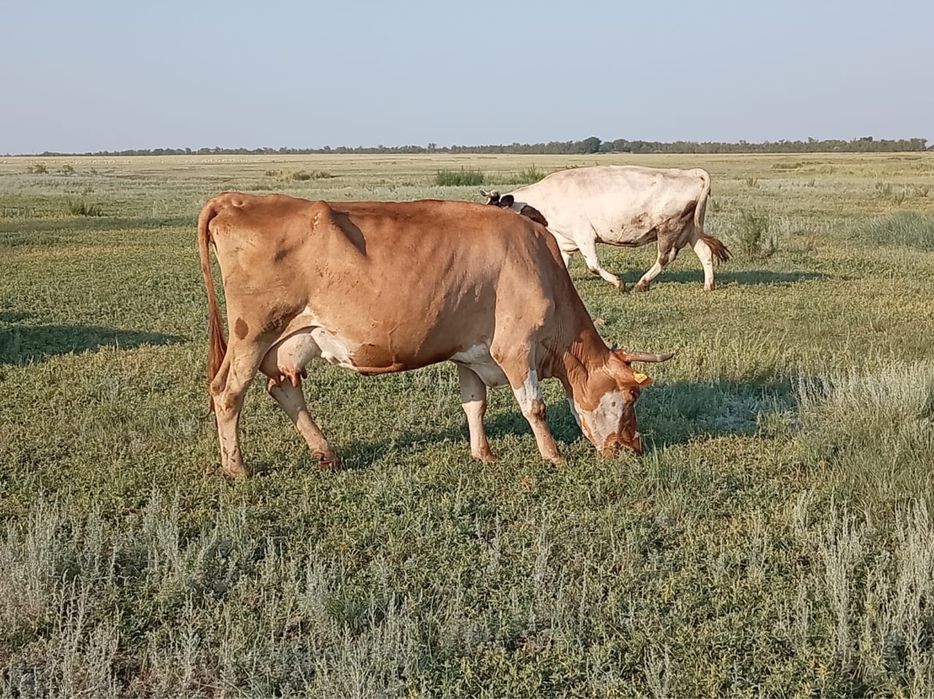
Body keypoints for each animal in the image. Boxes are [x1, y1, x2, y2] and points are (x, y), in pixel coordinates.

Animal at [198, 192, 673, 477]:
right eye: (632, 396)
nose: (635, 446)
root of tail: (238, 199)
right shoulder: (516, 349)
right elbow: (534, 407)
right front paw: (553, 456)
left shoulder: (471, 353)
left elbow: (474, 404)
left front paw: (483, 453)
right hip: (252, 333)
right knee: (228, 392)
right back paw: (236, 468)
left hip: (291, 339)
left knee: (284, 388)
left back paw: (326, 453)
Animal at [482, 165, 731, 292]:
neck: (544, 201)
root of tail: (689, 173)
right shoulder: (565, 240)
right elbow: (562, 264)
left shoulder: (584, 235)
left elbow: (593, 265)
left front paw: (618, 283)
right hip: (691, 229)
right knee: (705, 252)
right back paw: (708, 286)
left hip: (669, 228)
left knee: (664, 258)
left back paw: (642, 283)